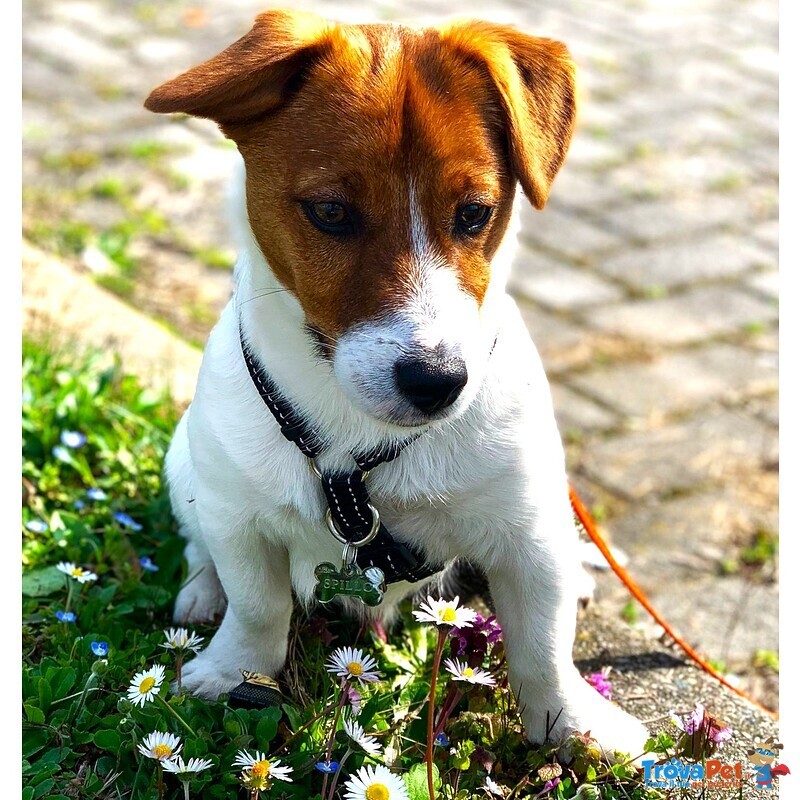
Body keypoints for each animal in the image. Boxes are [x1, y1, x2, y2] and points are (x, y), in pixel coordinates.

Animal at [145, 7, 648, 756]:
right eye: (330, 212)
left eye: (475, 213)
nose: (437, 382)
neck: (360, 448)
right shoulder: (239, 517)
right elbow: (259, 605)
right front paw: (233, 670)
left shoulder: (529, 536)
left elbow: (543, 647)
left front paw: (572, 724)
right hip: (188, 468)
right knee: (198, 544)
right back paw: (203, 590)